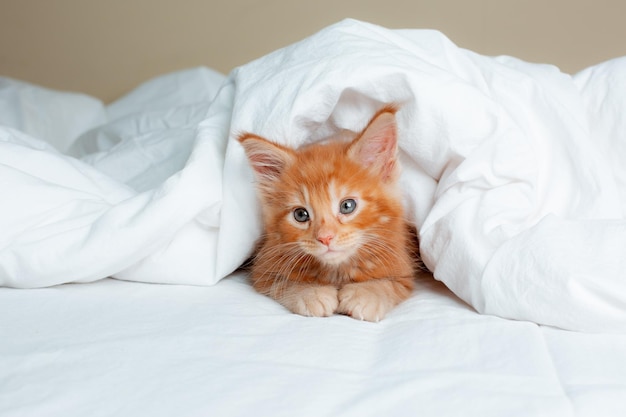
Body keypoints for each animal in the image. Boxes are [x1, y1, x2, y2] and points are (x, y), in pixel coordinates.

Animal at [239, 105, 420, 320]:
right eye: (301, 215)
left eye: (347, 206)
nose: (325, 238)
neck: (337, 270)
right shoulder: (265, 269)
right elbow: (284, 284)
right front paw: (310, 293)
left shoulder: (403, 268)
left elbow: (389, 284)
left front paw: (367, 294)